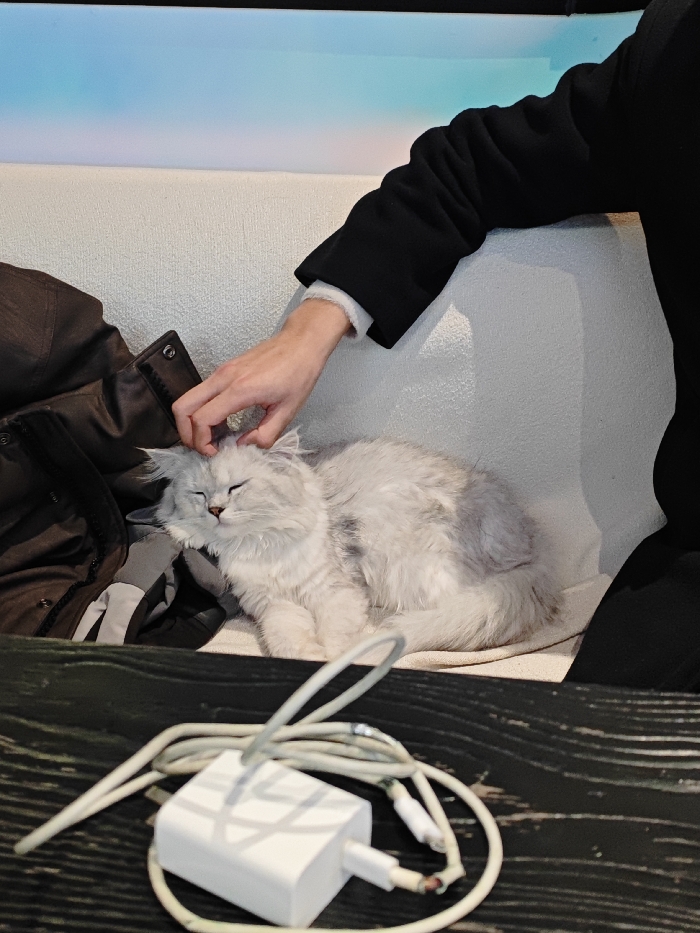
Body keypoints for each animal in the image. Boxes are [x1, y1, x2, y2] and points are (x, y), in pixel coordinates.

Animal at [147, 432, 559, 662]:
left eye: (237, 487)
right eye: (198, 494)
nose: (215, 510)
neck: (259, 544)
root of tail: (533, 555)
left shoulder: (336, 590)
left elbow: (335, 634)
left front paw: (330, 662)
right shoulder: (273, 605)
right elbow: (287, 639)